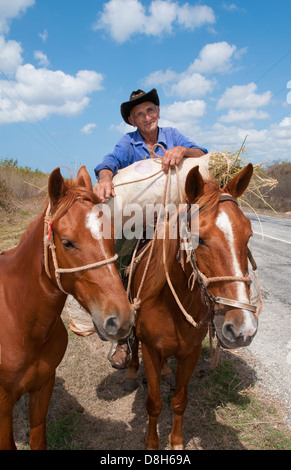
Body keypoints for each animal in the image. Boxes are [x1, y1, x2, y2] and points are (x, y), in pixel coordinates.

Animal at [126, 163, 258, 450]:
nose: (242, 329)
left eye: (249, 235)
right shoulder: (150, 351)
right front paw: (152, 443)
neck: (172, 306)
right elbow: (154, 403)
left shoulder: (191, 354)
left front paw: (176, 442)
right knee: (133, 344)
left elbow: (179, 401)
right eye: (199, 238)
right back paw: (130, 369)